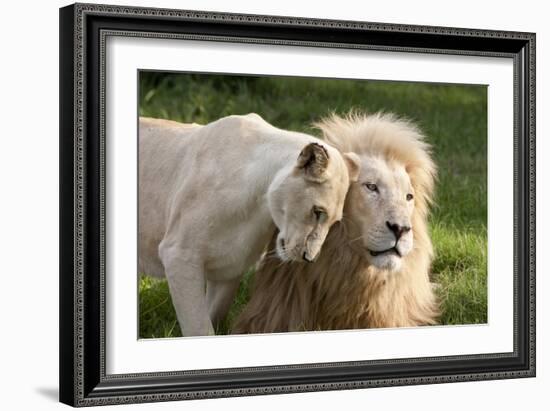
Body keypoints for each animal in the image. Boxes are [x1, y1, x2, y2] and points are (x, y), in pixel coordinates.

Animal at [140, 114, 360, 336]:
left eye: (334, 222)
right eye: (317, 212)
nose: (309, 258)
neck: (258, 208)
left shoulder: (230, 266)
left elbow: (214, 315)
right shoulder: (179, 255)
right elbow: (199, 327)